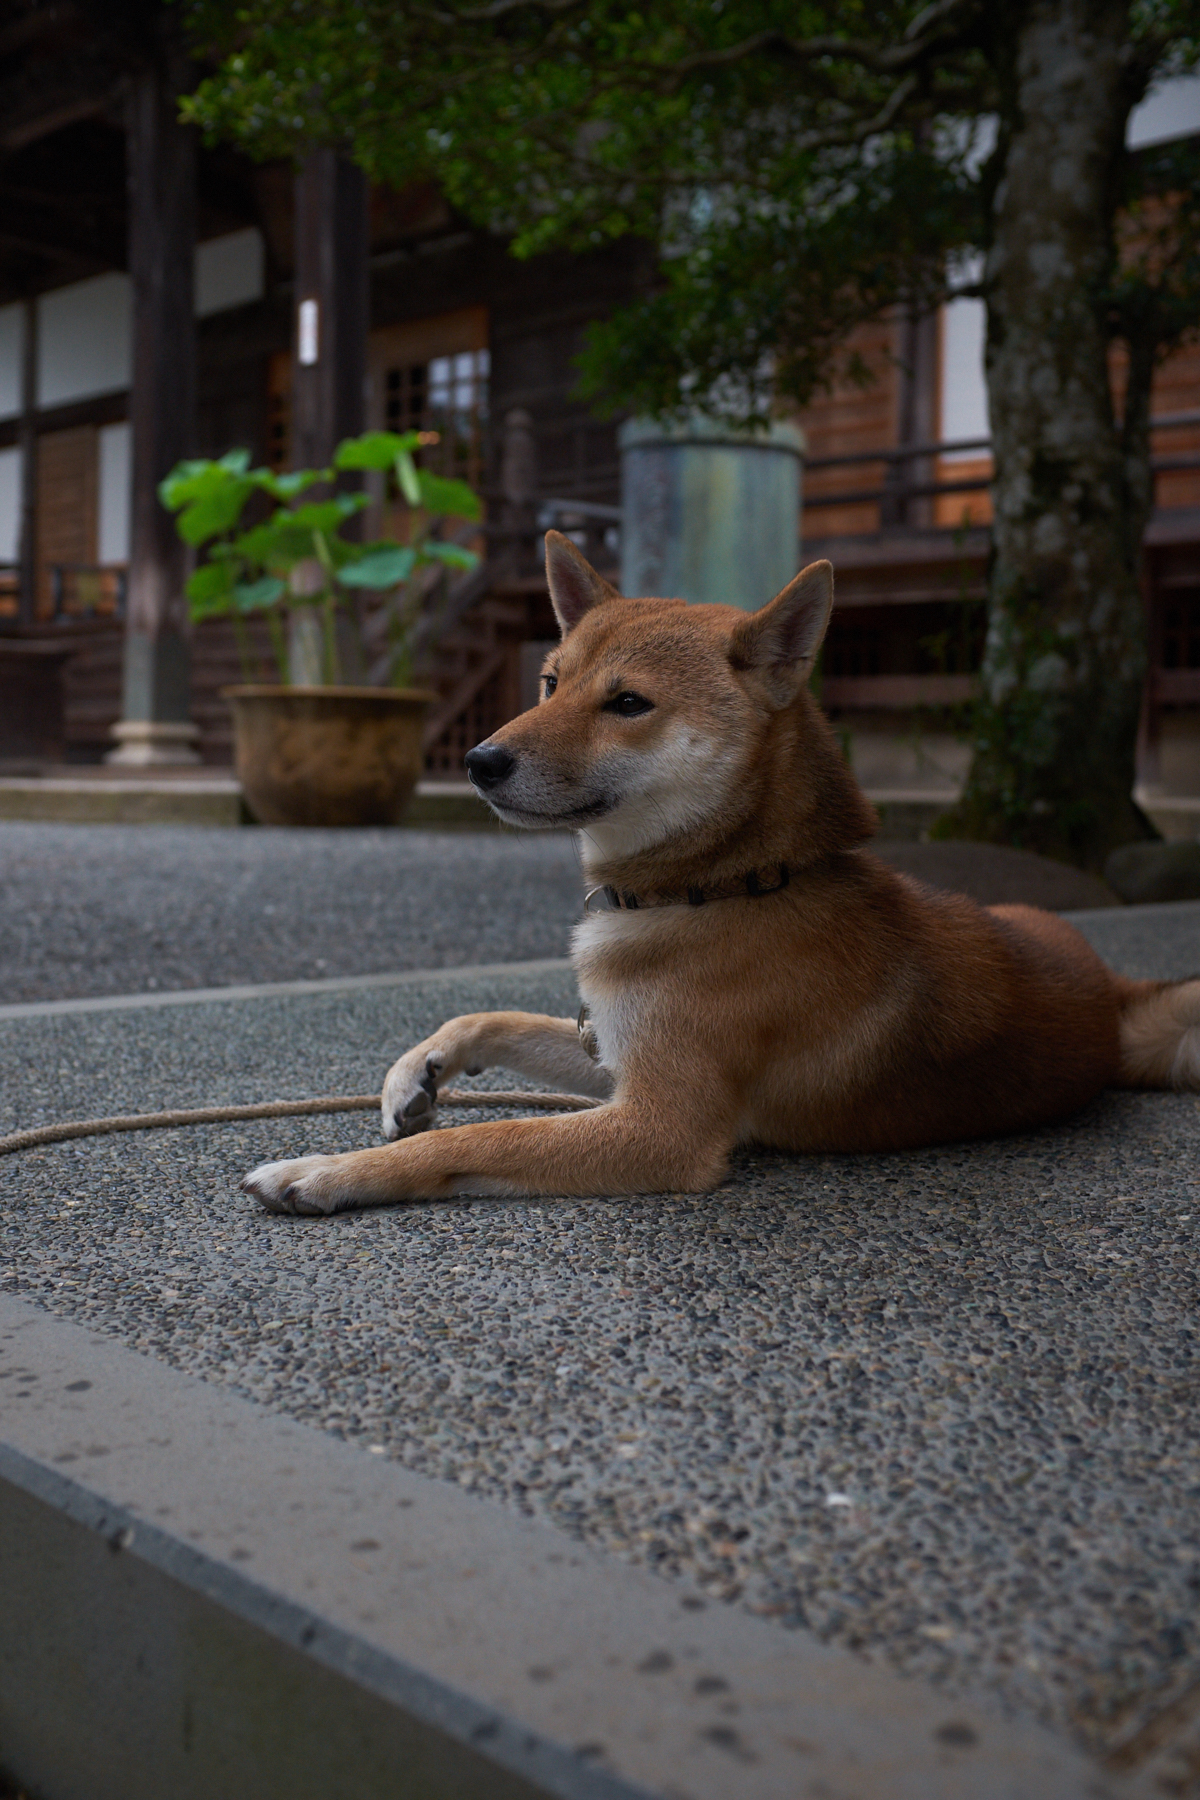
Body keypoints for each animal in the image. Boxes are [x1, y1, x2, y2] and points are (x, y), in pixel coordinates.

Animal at [244, 531, 1200, 1216]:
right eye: (550, 682)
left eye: (627, 703)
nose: (478, 761)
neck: (725, 885)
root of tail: (1112, 992)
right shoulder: (615, 1048)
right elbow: (490, 1016)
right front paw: (417, 1073)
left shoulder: (661, 1126)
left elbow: (473, 1142)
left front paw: (328, 1169)